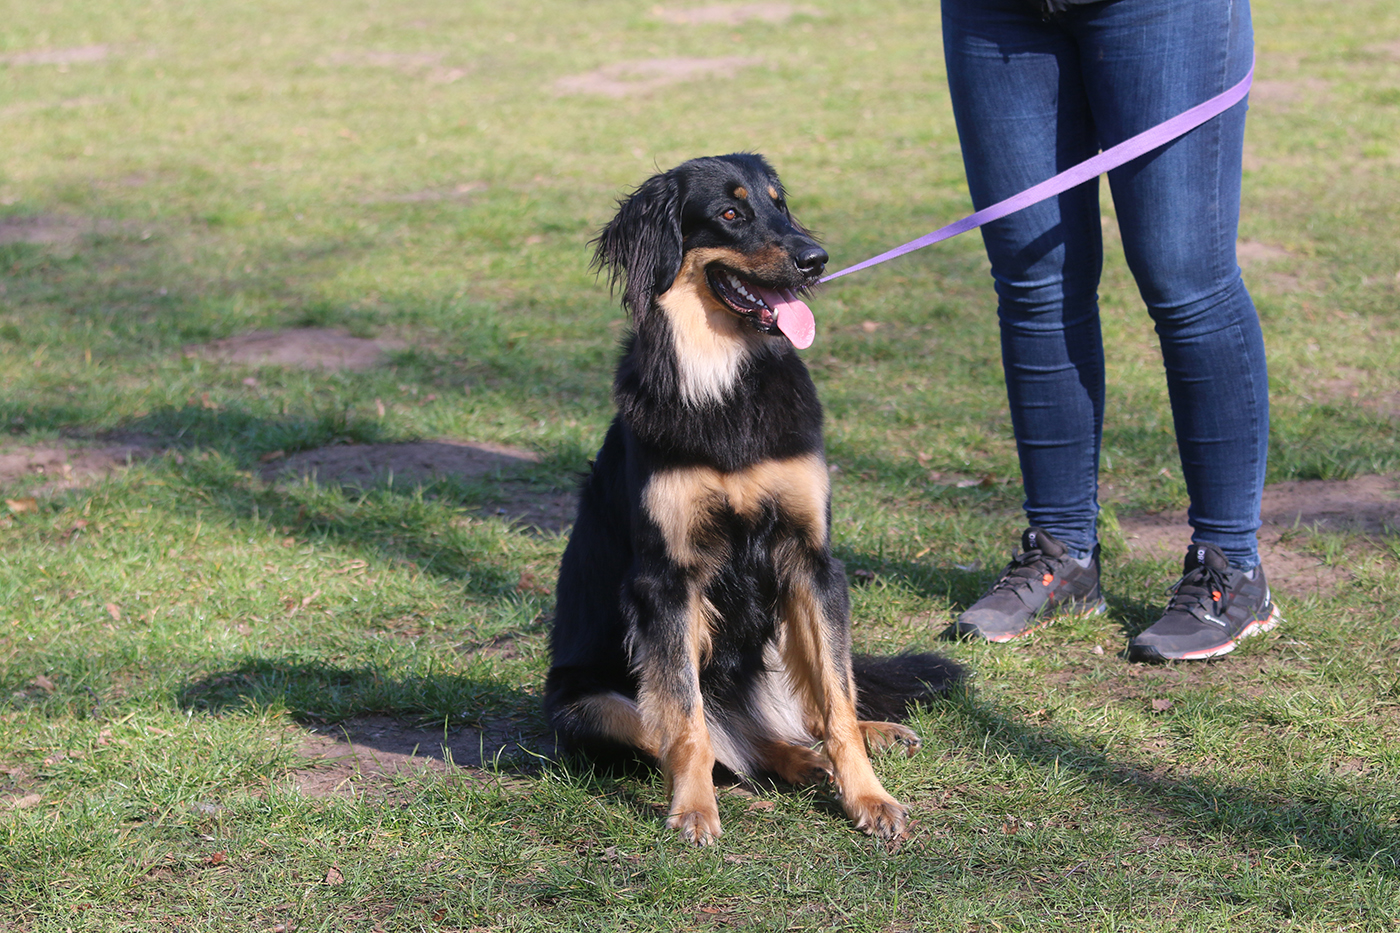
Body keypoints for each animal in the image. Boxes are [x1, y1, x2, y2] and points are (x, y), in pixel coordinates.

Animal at [545, 154, 964, 844]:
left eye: (780, 204)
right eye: (730, 213)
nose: (816, 259)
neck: (726, 379)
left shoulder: (811, 560)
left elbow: (836, 700)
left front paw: (868, 797)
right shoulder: (667, 582)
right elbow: (687, 723)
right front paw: (692, 811)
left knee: (813, 708)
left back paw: (859, 740)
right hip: (588, 707)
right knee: (717, 738)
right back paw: (793, 764)